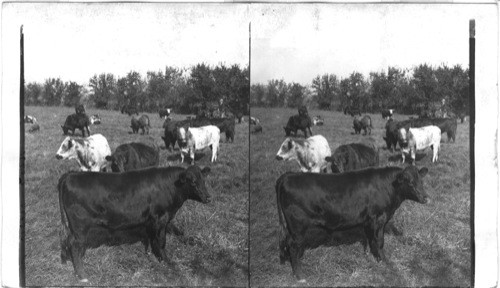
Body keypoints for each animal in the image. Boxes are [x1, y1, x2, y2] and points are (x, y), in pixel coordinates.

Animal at [58, 164, 211, 282]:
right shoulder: (160, 218)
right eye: (192, 182)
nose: (208, 197)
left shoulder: (156, 220)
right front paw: (166, 261)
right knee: (74, 245)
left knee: (67, 241)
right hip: (80, 226)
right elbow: (161, 241)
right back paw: (82, 275)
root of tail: (71, 174)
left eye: (204, 180)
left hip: (74, 228)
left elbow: (158, 237)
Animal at [278, 165, 430, 280]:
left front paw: (370, 256)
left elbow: (370, 239)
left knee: (287, 242)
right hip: (298, 226)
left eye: (421, 181)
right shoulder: (378, 219)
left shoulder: (369, 221)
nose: (426, 198)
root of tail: (287, 175)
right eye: (409, 182)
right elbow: (379, 241)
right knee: (292, 245)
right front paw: (384, 261)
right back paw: (299, 275)